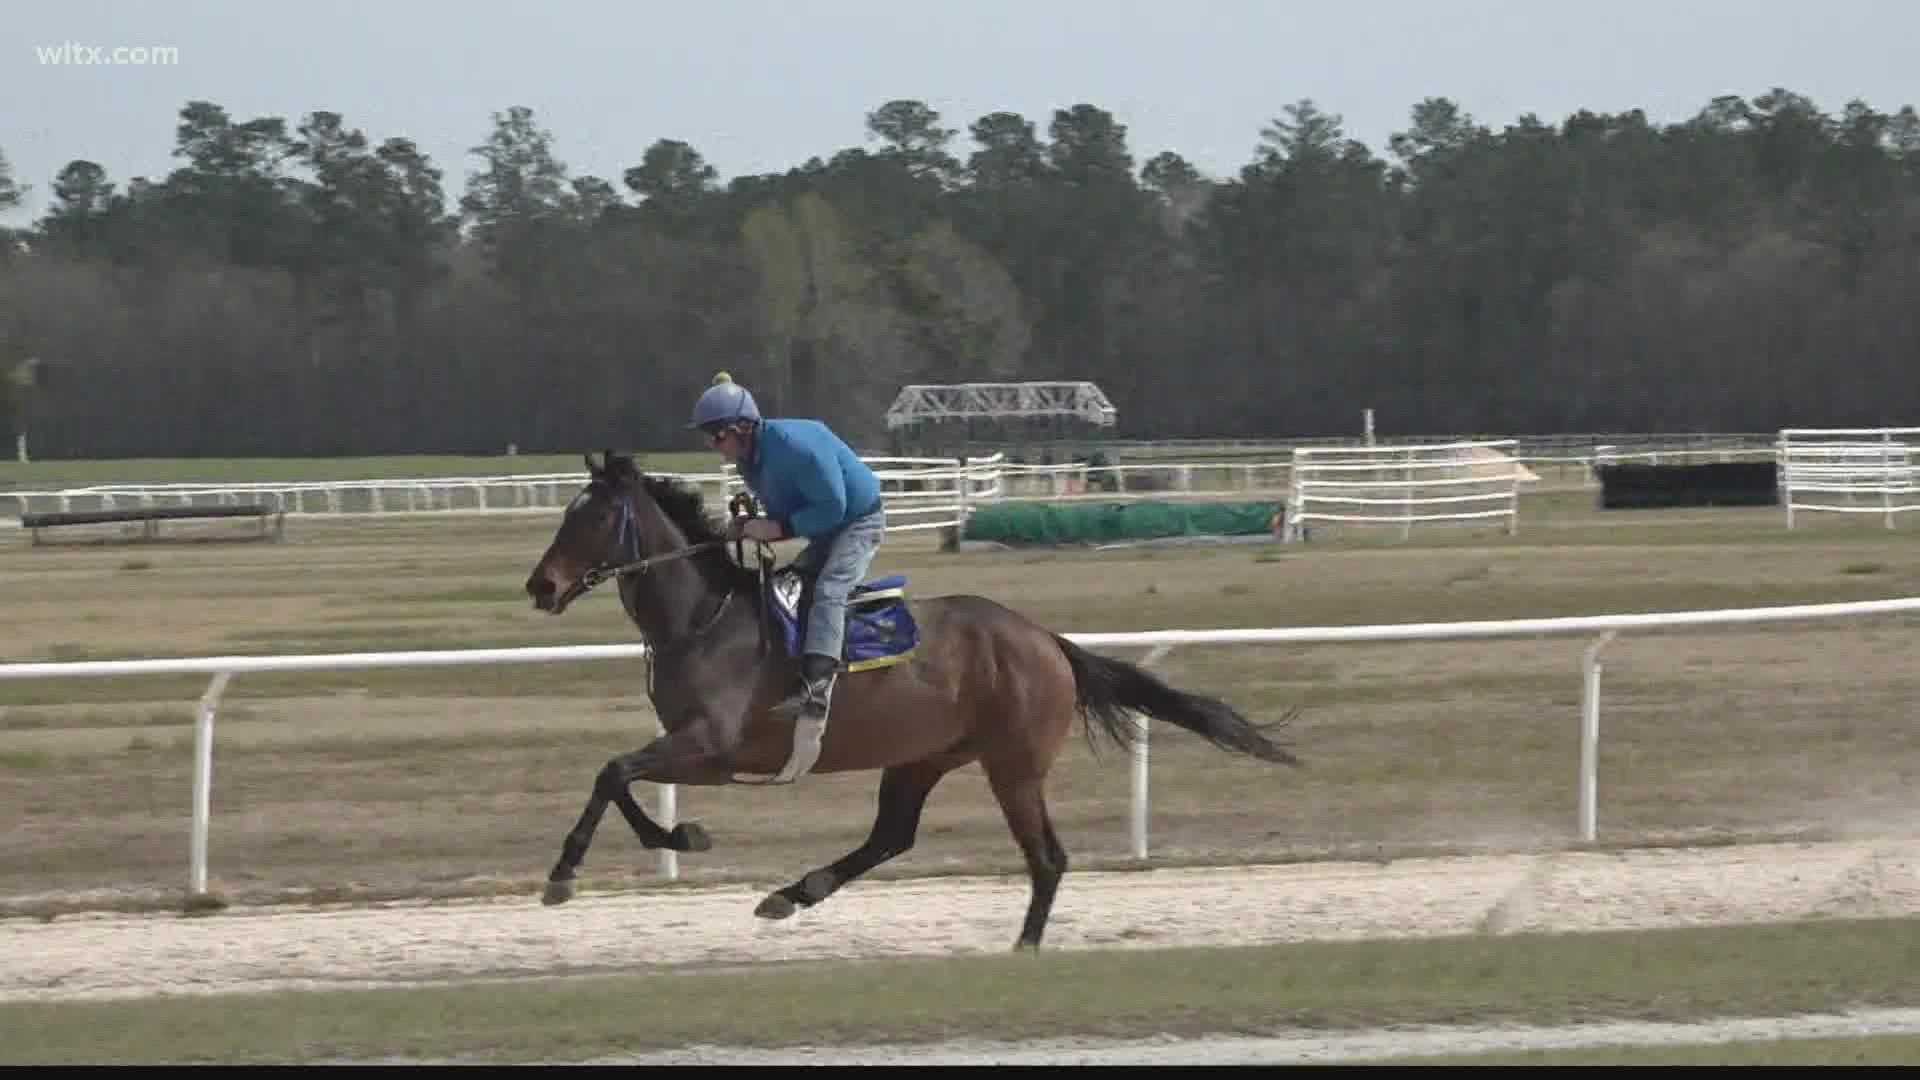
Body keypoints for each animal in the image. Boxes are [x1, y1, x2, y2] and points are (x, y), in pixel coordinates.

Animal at [526, 449, 1305, 945]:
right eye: (564, 514)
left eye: (592, 518)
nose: (540, 585)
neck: (704, 619)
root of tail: (1046, 640)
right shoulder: (705, 754)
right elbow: (618, 776)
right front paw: (674, 836)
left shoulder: (714, 746)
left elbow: (613, 772)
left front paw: (573, 870)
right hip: (924, 755)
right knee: (892, 835)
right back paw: (793, 893)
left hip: (1013, 763)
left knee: (1047, 857)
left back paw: (1024, 948)